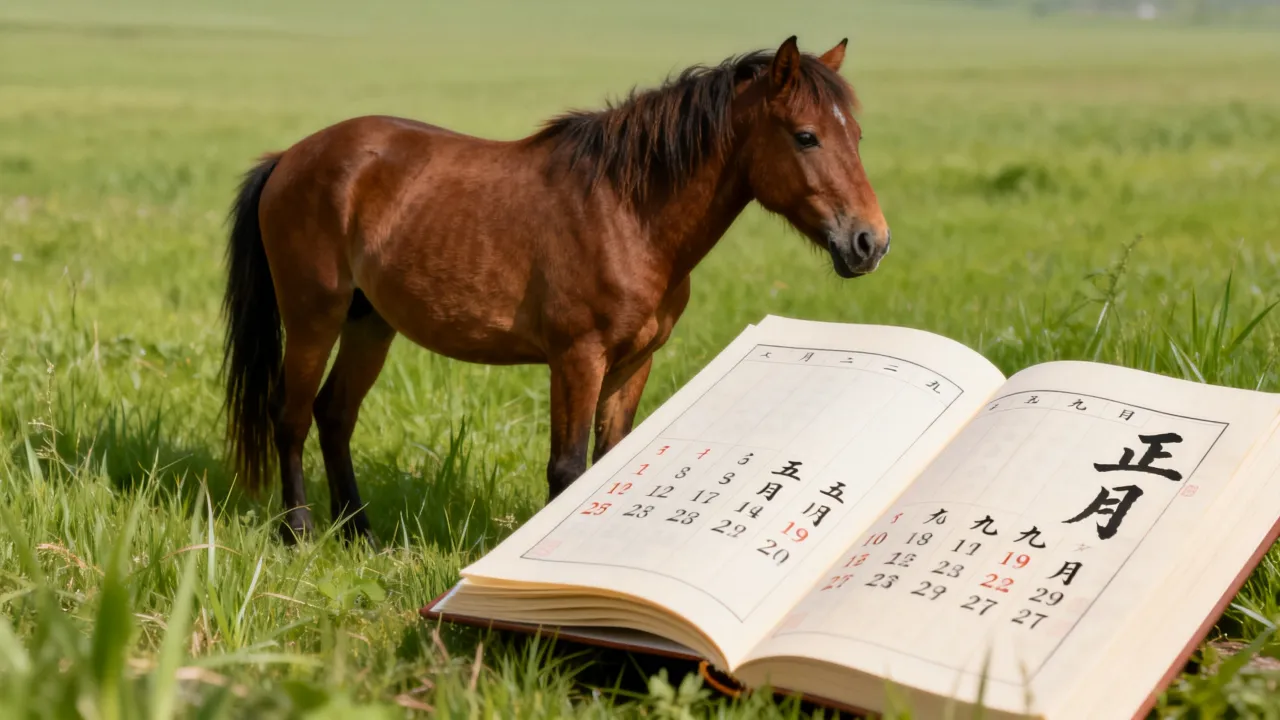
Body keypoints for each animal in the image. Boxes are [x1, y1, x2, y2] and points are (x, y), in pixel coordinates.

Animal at [221, 36, 891, 544]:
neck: (628, 211)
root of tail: (291, 156)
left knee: (335, 413)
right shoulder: (577, 357)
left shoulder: (634, 363)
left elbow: (611, 459)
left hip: (369, 322)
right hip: (314, 314)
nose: (870, 242)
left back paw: (359, 532)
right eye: (805, 136)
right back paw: (299, 531)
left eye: (859, 135)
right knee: (291, 415)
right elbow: (567, 468)